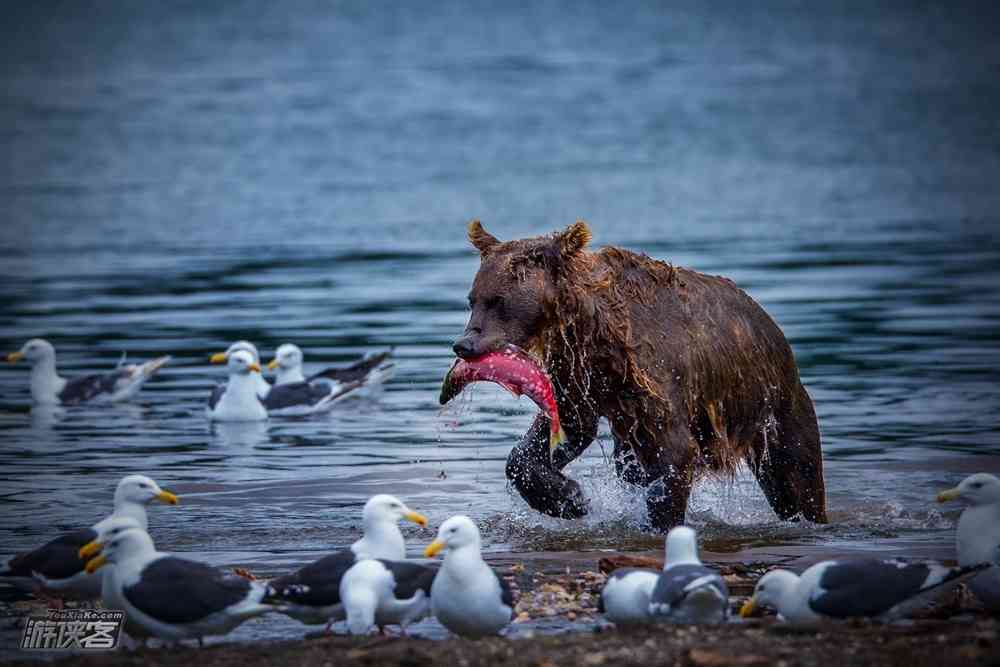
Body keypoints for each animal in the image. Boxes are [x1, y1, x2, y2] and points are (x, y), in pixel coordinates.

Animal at [454, 220, 828, 532]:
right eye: (472, 299)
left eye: (498, 300)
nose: (464, 344)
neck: (589, 329)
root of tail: (776, 333)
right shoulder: (580, 375)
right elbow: (562, 430)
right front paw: (570, 498)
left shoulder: (655, 376)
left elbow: (673, 454)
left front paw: (656, 524)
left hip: (775, 409)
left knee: (795, 477)